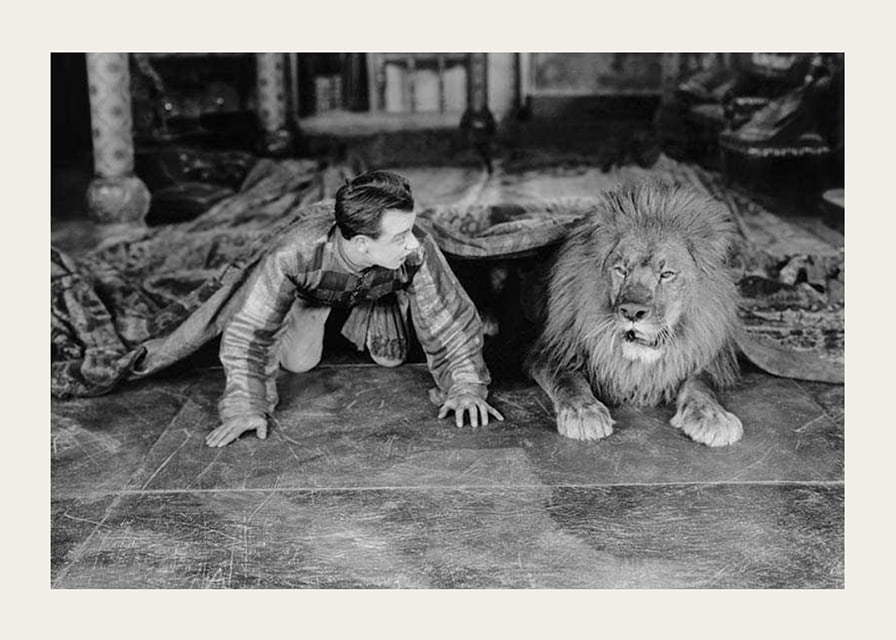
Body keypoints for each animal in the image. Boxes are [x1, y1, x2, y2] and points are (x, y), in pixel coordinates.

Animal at [526, 180, 744, 447]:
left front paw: (713, 416)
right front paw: (583, 412)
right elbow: (567, 379)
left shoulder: (704, 357)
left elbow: (700, 384)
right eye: (621, 270)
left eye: (666, 274)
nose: (631, 312)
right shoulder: (552, 350)